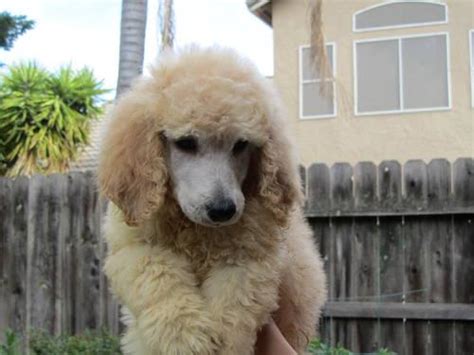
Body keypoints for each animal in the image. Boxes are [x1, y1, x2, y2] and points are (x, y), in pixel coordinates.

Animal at [98, 47, 328, 355]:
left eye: (241, 145)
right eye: (186, 143)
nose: (222, 210)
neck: (199, 233)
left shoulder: (251, 257)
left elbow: (234, 301)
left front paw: (222, 343)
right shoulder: (134, 249)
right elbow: (158, 275)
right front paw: (185, 337)